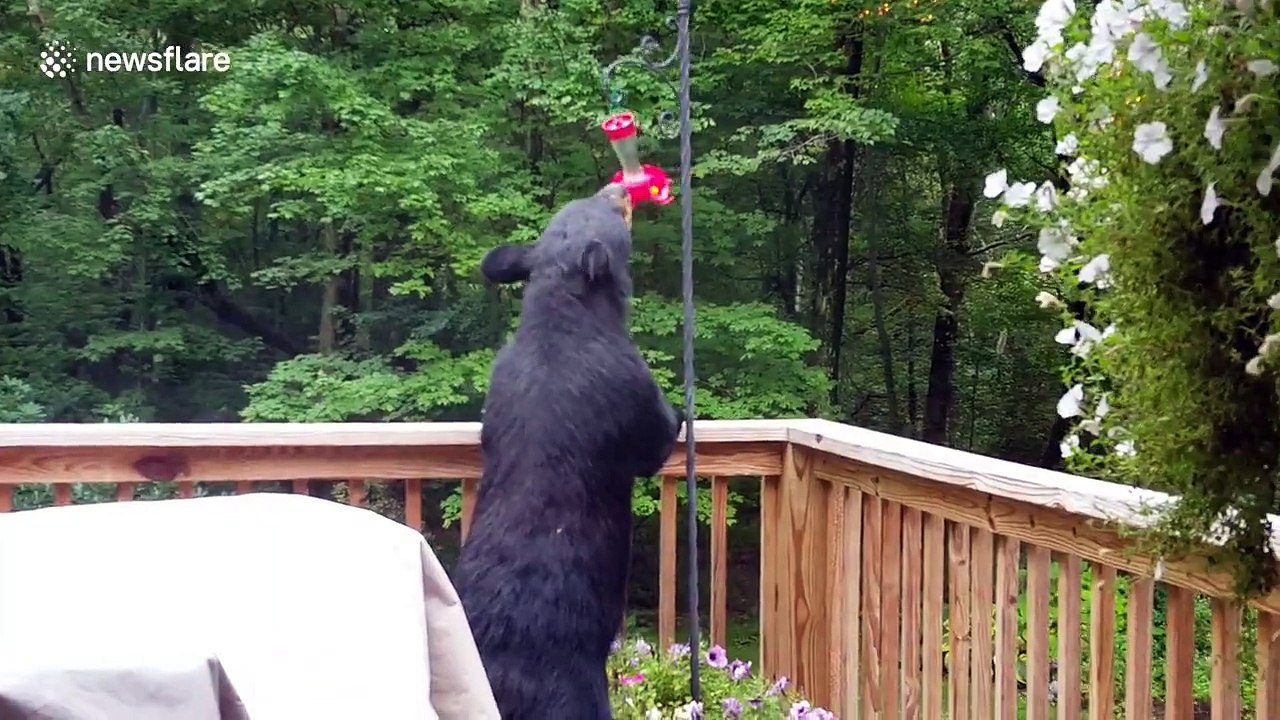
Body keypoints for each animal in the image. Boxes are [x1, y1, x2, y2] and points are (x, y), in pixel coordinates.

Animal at [453, 183, 685, 720]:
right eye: (604, 210)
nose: (617, 187)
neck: (560, 317)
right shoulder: (633, 389)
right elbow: (658, 438)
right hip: (576, 697)